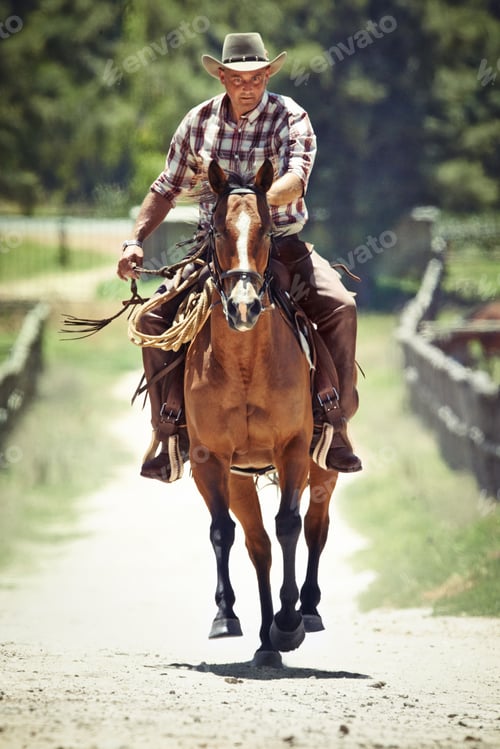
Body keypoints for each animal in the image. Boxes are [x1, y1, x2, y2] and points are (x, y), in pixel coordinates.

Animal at [184, 159, 339, 668]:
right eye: (216, 229)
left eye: (268, 230)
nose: (245, 306)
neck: (246, 366)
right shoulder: (211, 460)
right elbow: (223, 532)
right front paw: (226, 615)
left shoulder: (292, 449)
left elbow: (290, 525)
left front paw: (289, 623)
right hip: (239, 477)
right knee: (258, 546)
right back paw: (266, 643)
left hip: (323, 466)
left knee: (315, 527)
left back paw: (306, 611)